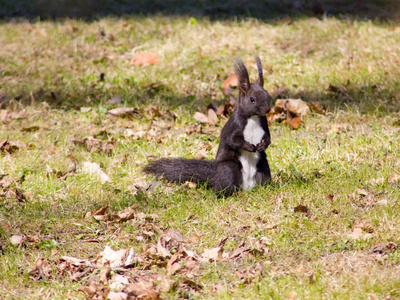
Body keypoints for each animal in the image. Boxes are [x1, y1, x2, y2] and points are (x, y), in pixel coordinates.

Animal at [144, 56, 272, 197]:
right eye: (252, 99)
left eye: (267, 94)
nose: (268, 109)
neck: (253, 118)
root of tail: (246, 187)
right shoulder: (235, 125)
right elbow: (232, 140)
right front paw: (248, 146)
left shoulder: (263, 124)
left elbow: (268, 137)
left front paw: (263, 144)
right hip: (228, 169)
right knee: (226, 183)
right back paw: (225, 194)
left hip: (263, 167)